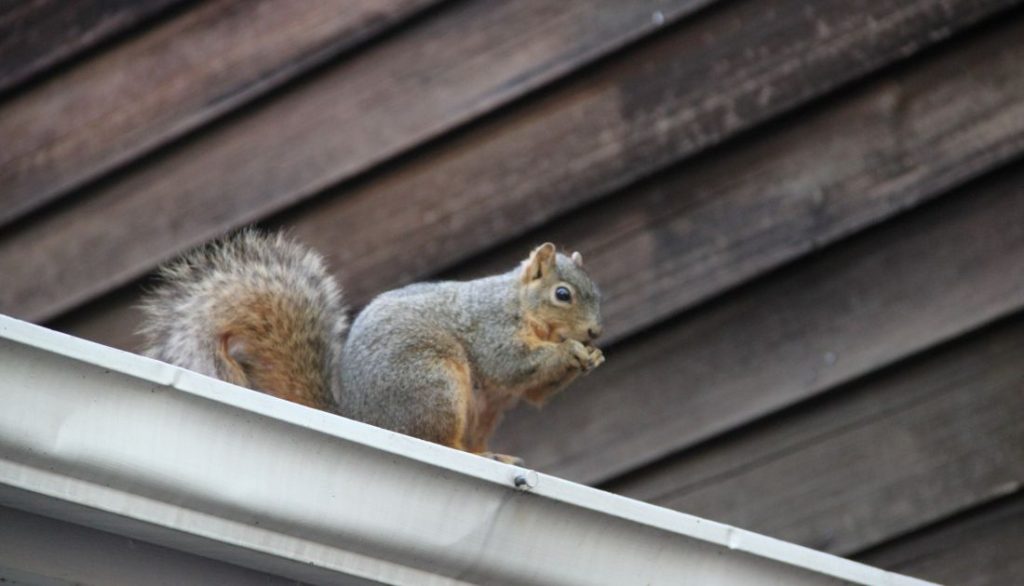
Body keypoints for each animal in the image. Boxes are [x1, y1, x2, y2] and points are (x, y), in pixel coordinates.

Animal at [135, 228, 598, 463]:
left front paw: (589, 357)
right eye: (562, 294)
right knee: (433, 438)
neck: (520, 305)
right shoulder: (491, 327)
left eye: (598, 294)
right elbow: (511, 365)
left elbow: (534, 392)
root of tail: (362, 417)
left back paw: (492, 456)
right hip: (433, 385)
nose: (594, 332)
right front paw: (571, 353)